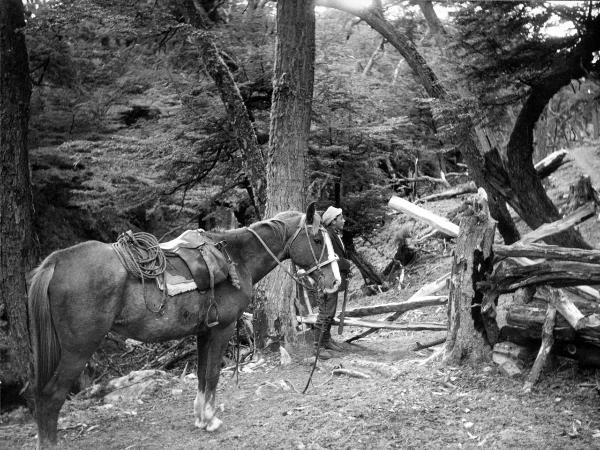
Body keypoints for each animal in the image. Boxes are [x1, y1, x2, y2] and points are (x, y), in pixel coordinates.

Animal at [28, 205, 340, 450]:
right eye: (316, 239)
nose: (335, 280)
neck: (235, 258)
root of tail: (55, 261)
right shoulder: (222, 328)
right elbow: (213, 374)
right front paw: (211, 420)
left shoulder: (203, 331)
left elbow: (202, 374)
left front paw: (201, 417)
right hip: (77, 350)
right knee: (50, 397)